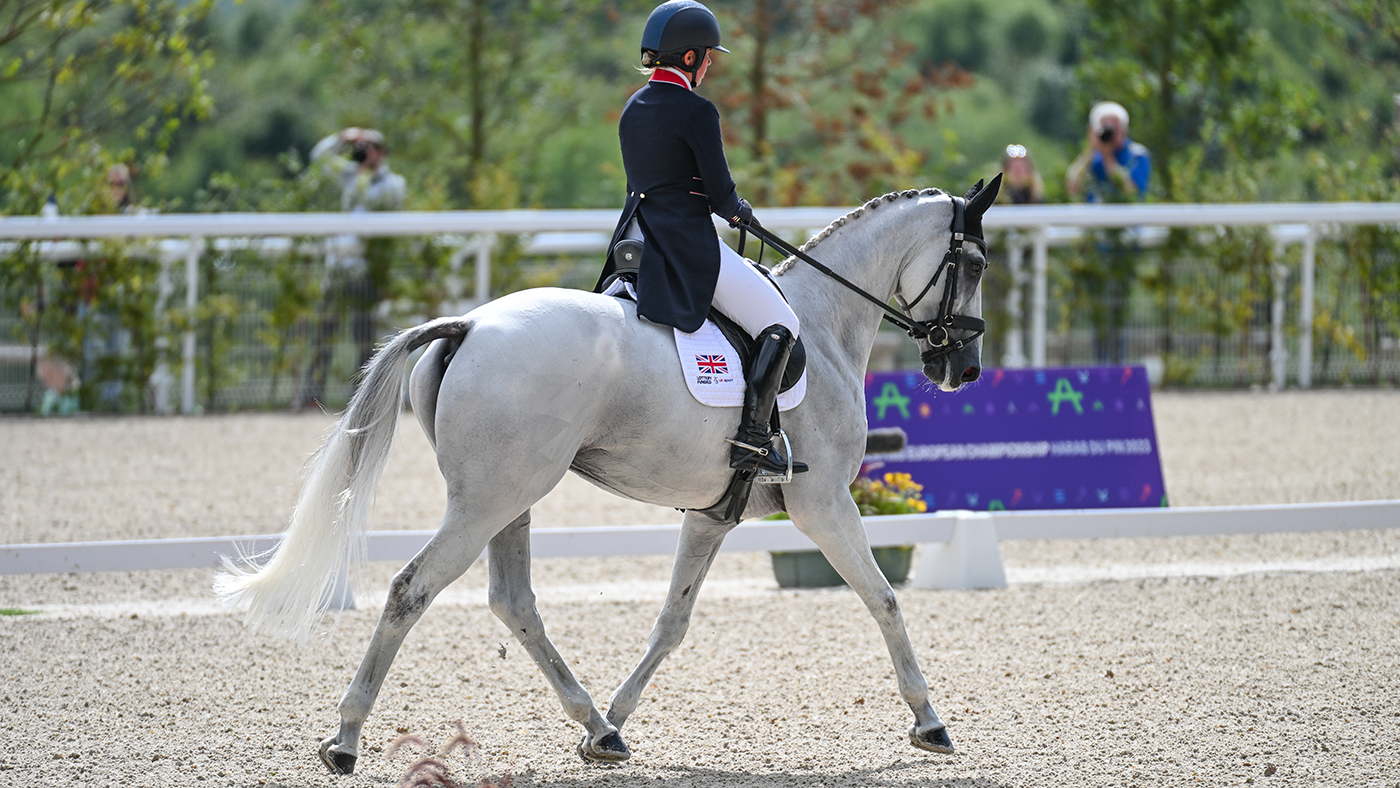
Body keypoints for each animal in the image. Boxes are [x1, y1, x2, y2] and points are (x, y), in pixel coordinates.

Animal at [215, 175, 996, 772]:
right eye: (977, 265)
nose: (962, 368)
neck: (824, 321)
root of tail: (469, 324)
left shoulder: (714, 513)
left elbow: (672, 622)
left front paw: (622, 712)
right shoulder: (823, 500)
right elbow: (884, 598)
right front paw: (930, 722)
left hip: (510, 497)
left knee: (514, 602)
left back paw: (599, 728)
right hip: (489, 499)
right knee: (413, 589)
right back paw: (345, 739)